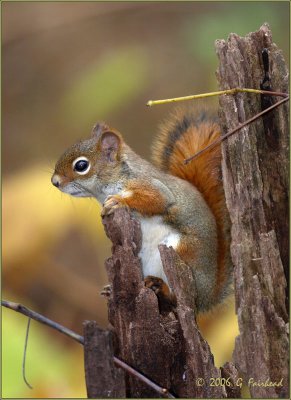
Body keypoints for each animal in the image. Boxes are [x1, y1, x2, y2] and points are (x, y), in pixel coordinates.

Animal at [50, 109, 233, 312]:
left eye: (81, 166)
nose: (54, 182)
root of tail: (208, 298)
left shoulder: (150, 185)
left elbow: (156, 200)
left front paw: (119, 201)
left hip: (181, 252)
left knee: (177, 301)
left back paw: (163, 289)